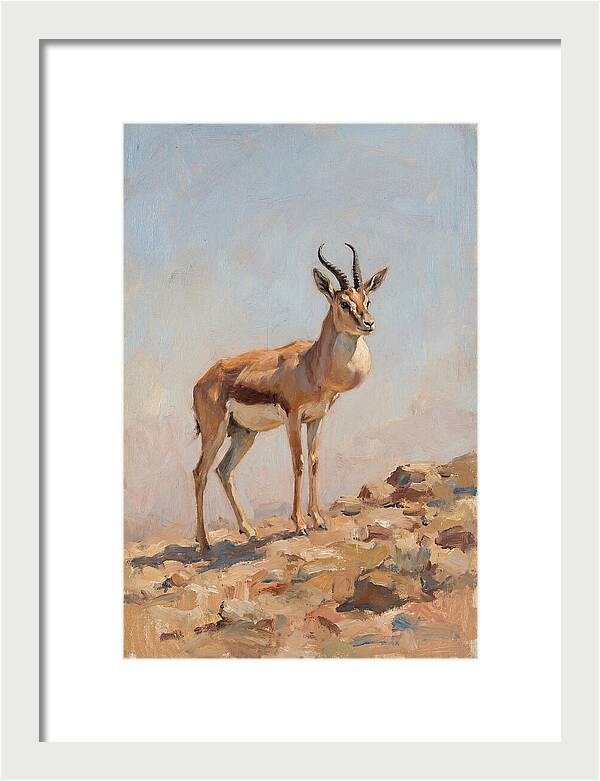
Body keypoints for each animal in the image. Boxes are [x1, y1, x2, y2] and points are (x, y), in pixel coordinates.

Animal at [192, 244, 388, 551]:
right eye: (344, 303)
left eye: (367, 300)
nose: (369, 323)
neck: (312, 364)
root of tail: (202, 381)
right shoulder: (293, 418)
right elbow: (298, 463)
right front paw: (299, 524)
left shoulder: (317, 418)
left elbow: (315, 461)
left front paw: (318, 519)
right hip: (215, 432)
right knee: (199, 473)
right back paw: (204, 543)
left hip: (244, 434)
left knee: (223, 470)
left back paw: (249, 531)